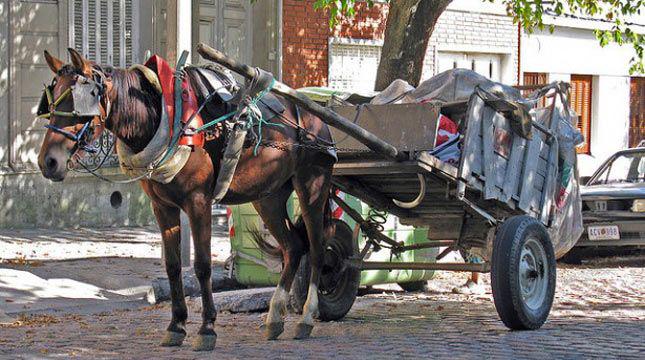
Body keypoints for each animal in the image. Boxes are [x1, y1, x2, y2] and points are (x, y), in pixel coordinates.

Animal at [36, 48, 338, 352]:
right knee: (293, 247)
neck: (165, 119)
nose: (48, 162)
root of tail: (315, 117)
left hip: (312, 185)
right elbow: (172, 267)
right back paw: (275, 317)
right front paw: (176, 325)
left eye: (79, 103)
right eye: (51, 102)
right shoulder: (163, 207)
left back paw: (306, 318)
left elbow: (202, 266)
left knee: (317, 249)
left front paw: (207, 328)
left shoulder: (198, 202)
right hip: (268, 196)